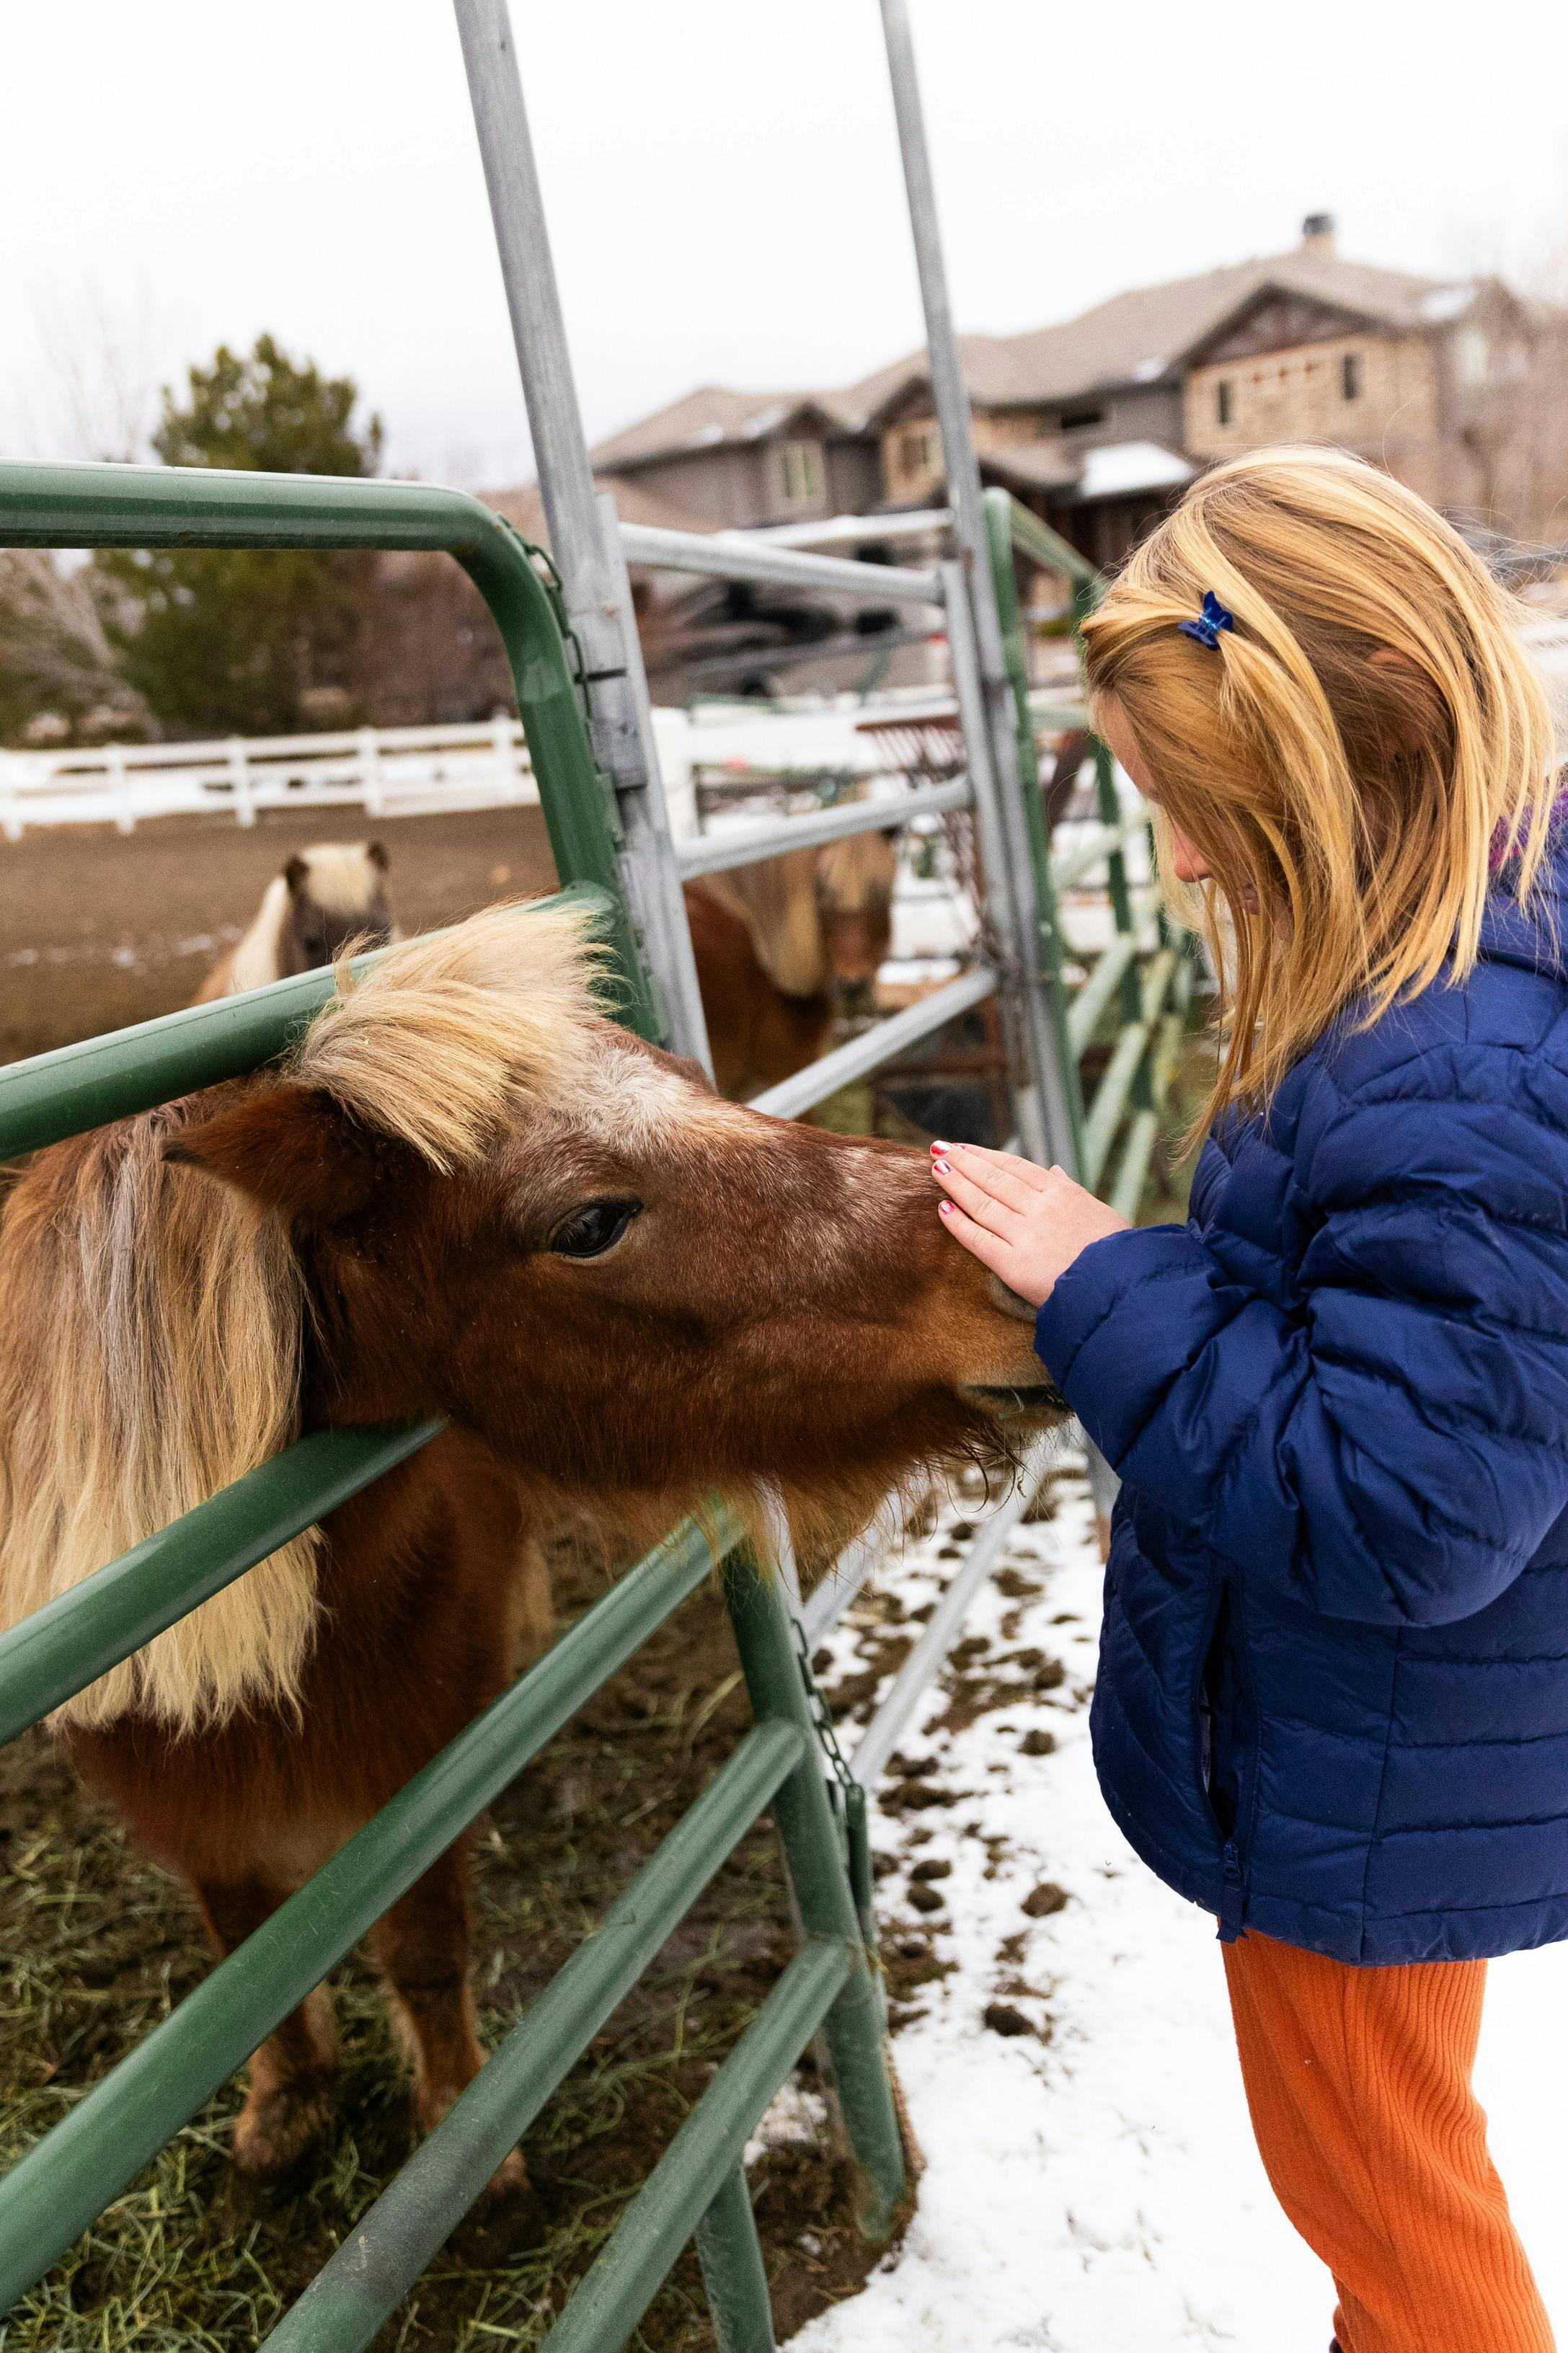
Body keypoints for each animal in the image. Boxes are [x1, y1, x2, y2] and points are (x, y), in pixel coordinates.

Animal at [0, 900, 1058, 2193]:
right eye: (589, 1222)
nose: (1018, 1273)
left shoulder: (419, 1772)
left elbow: (422, 1946)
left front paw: (460, 2121)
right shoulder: (188, 1799)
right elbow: (244, 1945)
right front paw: (287, 2097)